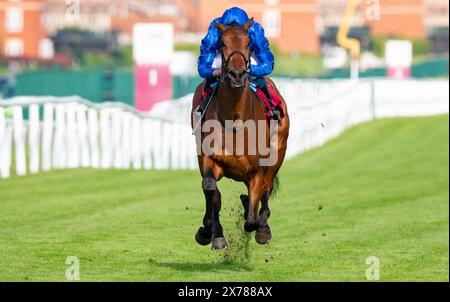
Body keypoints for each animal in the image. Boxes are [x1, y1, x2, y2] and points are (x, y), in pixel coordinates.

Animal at [191, 18, 290, 250]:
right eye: (222, 43)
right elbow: (210, 189)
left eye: (248, 43)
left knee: (266, 189)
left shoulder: (256, 169)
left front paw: (260, 226)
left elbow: (252, 219)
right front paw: (212, 233)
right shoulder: (210, 159)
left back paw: (263, 226)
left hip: (278, 152)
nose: (237, 74)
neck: (235, 121)